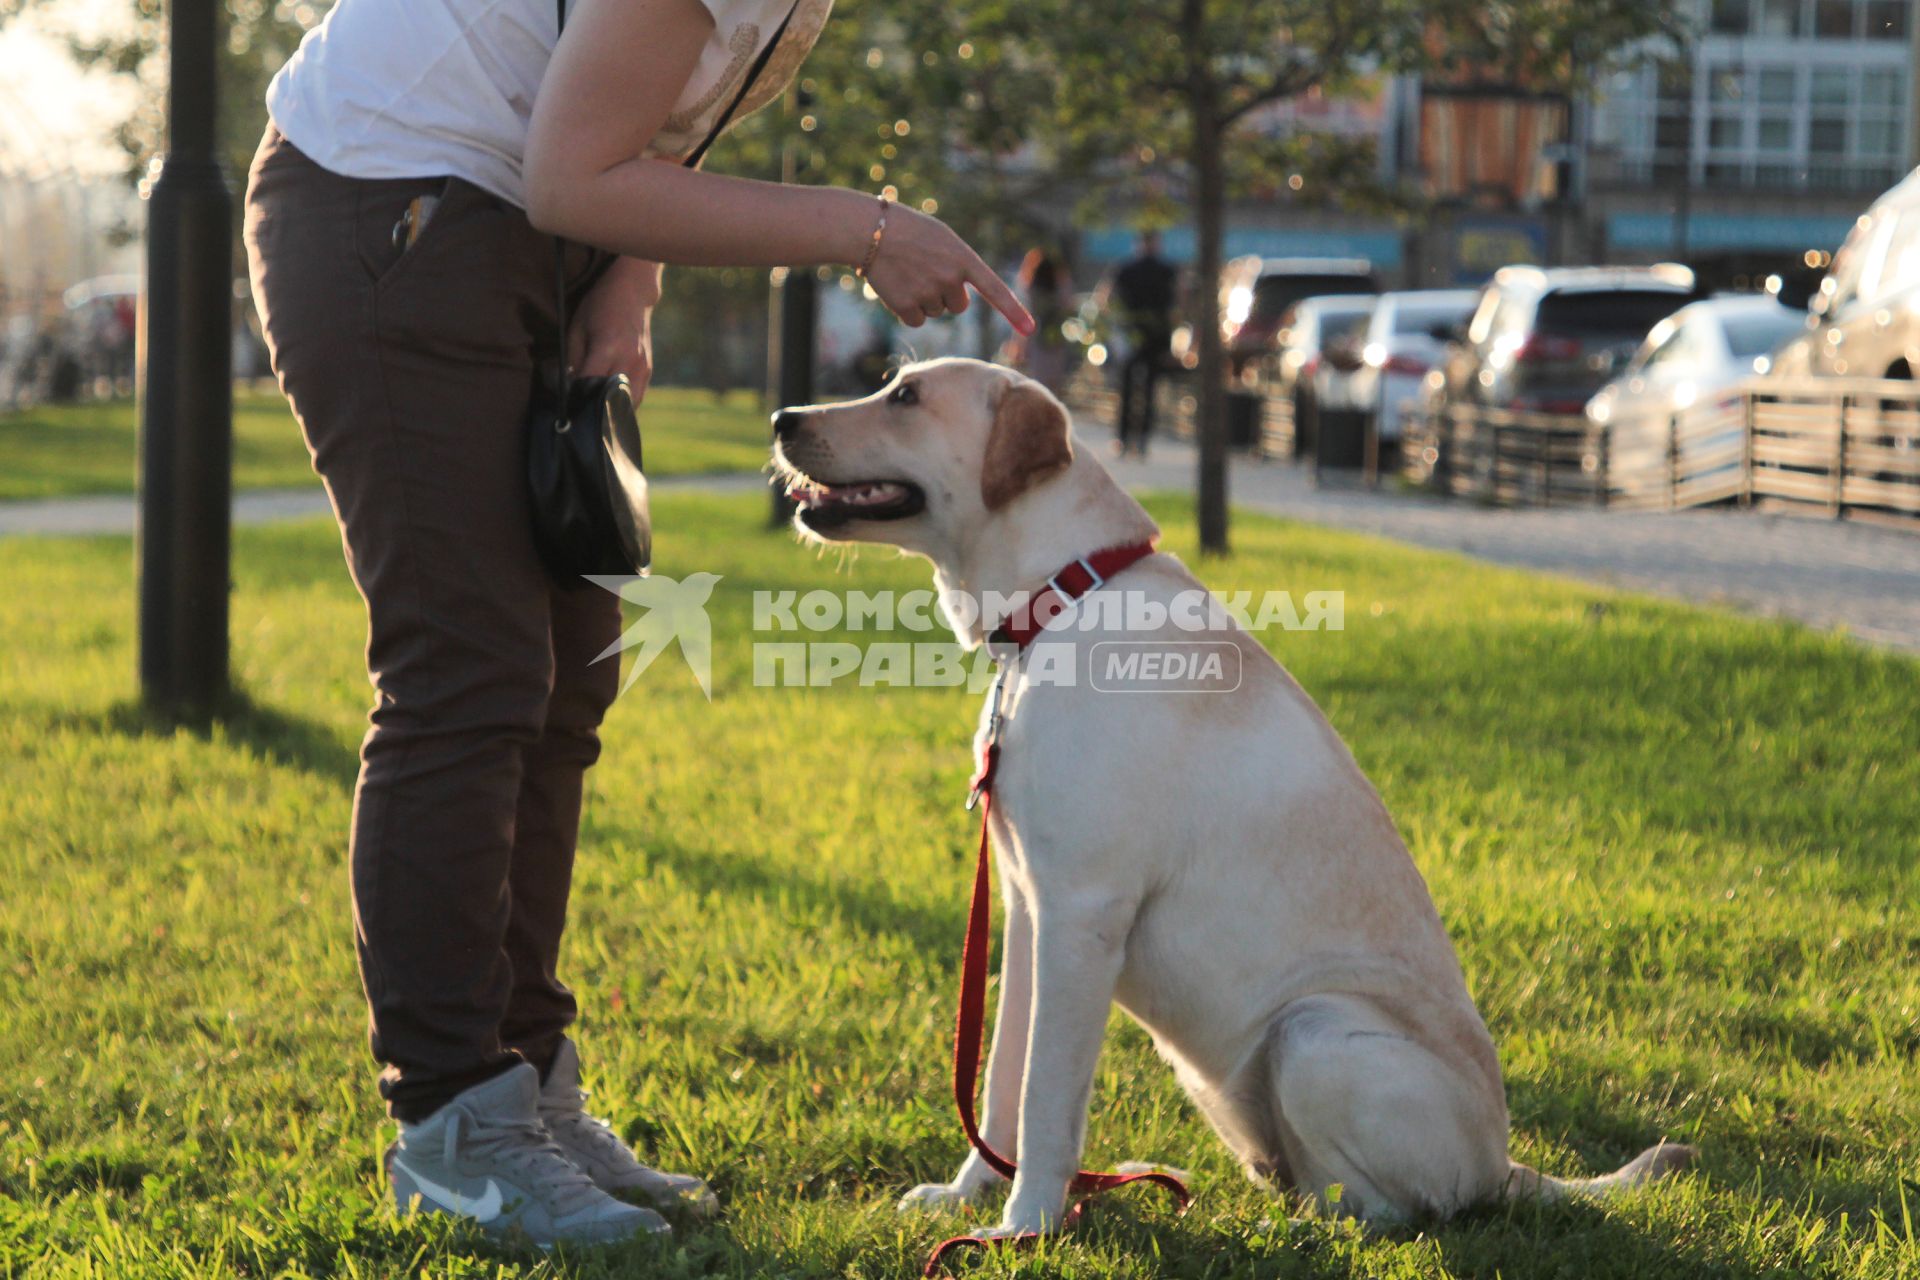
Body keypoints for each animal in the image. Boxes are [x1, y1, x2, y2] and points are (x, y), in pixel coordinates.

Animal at [771, 358, 1689, 1243]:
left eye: (907, 396)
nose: (782, 417)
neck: (1061, 599)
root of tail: (1505, 1165)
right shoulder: (1031, 913)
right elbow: (1000, 1078)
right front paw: (970, 1197)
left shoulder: (1082, 914)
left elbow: (1046, 1101)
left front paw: (1025, 1227)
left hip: (1315, 1029)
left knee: (1403, 1214)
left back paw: (1307, 1229)